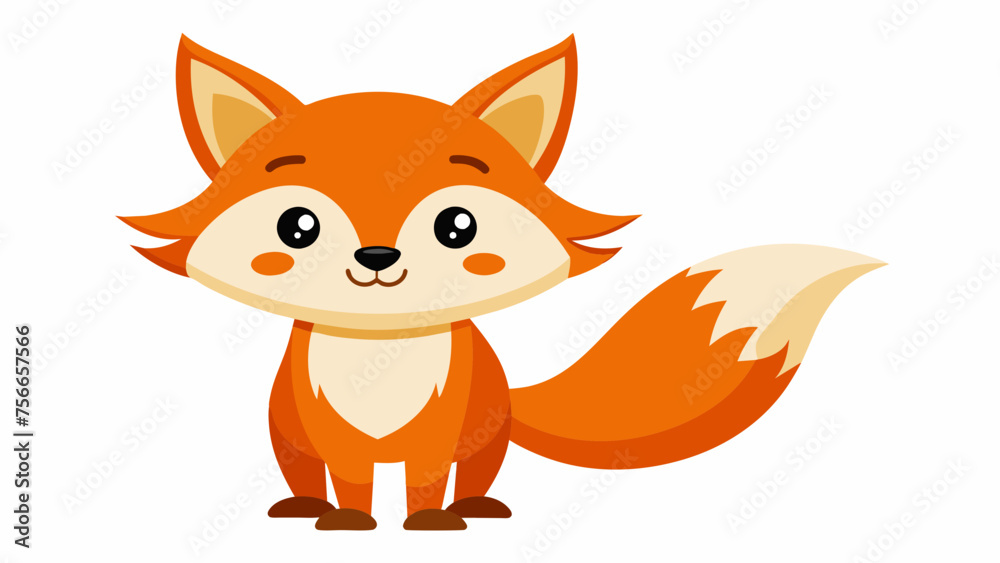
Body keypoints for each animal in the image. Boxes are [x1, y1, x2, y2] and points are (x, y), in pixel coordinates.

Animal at [120, 35, 883, 531]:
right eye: (297, 227)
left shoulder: (442, 429)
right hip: (288, 434)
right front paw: (350, 524)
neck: (379, 357)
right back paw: (305, 507)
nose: (377, 256)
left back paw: (476, 508)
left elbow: (426, 481)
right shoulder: (332, 432)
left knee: (478, 474)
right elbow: (355, 482)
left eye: (457, 227)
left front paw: (430, 523)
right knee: (303, 473)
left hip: (487, 433)